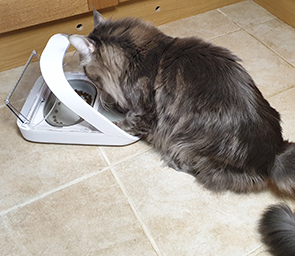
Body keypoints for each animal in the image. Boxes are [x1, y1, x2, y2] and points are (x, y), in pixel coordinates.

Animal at [68, 10, 295, 256]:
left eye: (86, 70)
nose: (86, 76)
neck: (139, 56)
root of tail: (273, 153)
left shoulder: (145, 111)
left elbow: (127, 122)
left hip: (184, 142)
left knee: (202, 171)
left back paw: (174, 162)